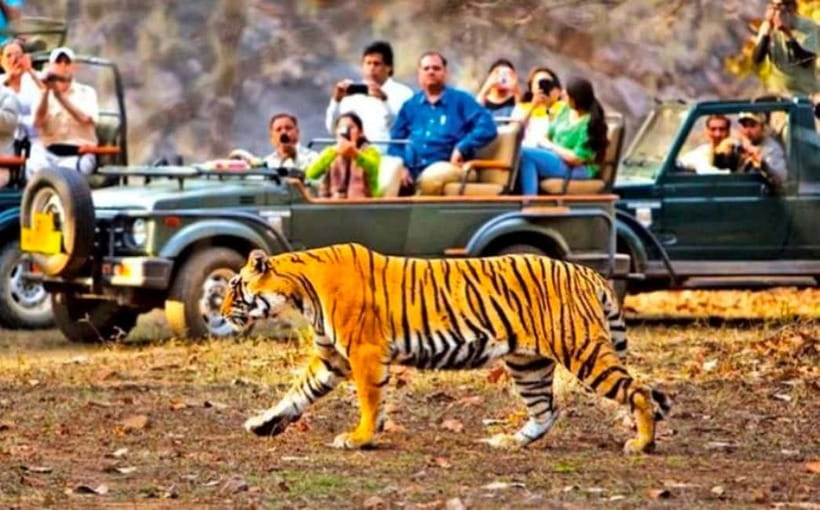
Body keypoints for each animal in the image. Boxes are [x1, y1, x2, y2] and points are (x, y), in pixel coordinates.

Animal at [221, 243, 671, 454]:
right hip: (528, 363)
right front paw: (262, 423)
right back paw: (510, 442)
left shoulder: (364, 353)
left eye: (235, 287)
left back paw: (642, 444)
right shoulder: (332, 358)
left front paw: (360, 438)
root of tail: (586, 271)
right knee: (547, 410)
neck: (300, 291)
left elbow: (370, 400)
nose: (223, 312)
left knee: (638, 391)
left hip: (582, 350)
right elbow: (297, 393)